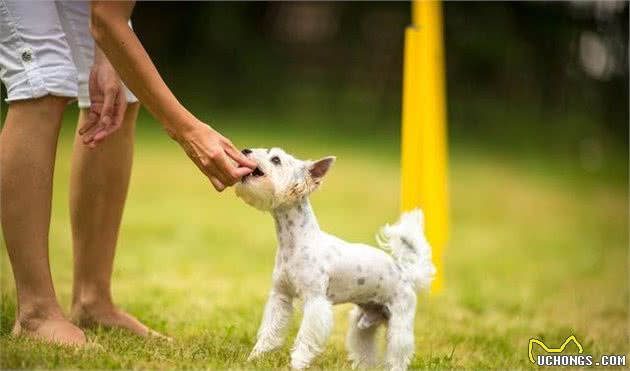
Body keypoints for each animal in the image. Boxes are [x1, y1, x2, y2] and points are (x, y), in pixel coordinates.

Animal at [235, 149, 436, 371]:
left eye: (276, 159)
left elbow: (305, 337)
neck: (295, 242)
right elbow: (269, 332)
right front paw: (255, 357)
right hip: (362, 325)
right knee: (365, 350)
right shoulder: (281, 297)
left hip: (399, 325)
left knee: (398, 355)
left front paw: (297, 363)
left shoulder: (315, 302)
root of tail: (405, 272)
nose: (245, 150)